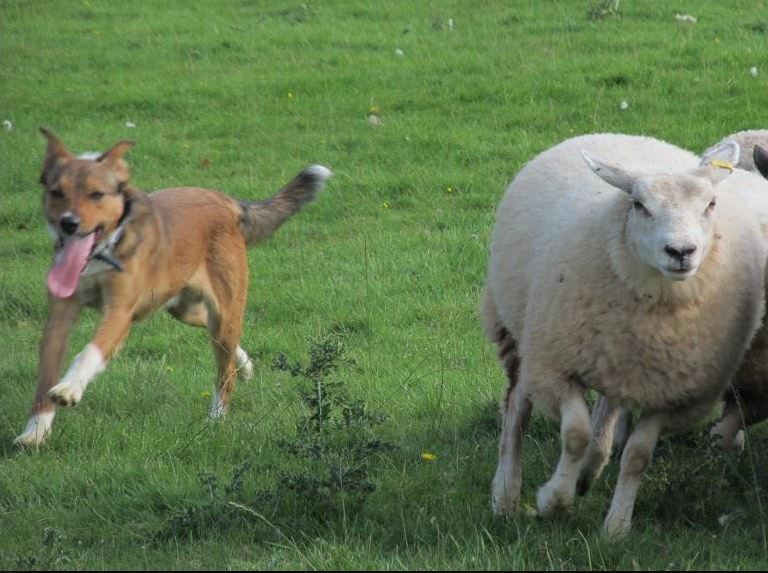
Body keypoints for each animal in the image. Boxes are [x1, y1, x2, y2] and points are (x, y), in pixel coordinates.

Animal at [15, 130, 332, 446]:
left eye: (97, 194)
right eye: (57, 192)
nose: (69, 224)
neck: (100, 254)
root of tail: (226, 201)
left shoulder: (120, 312)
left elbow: (90, 350)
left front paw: (68, 389)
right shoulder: (60, 316)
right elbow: (45, 376)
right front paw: (35, 431)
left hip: (223, 311)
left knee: (224, 369)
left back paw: (215, 420)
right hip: (183, 308)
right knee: (218, 337)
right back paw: (245, 365)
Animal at [486, 133, 768, 536]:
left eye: (711, 204)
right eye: (639, 205)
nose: (681, 251)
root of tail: (612, 134)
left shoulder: (673, 395)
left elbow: (638, 456)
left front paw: (616, 527)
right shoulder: (556, 368)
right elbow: (575, 434)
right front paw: (553, 501)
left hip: (614, 364)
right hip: (522, 335)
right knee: (516, 410)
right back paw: (506, 495)